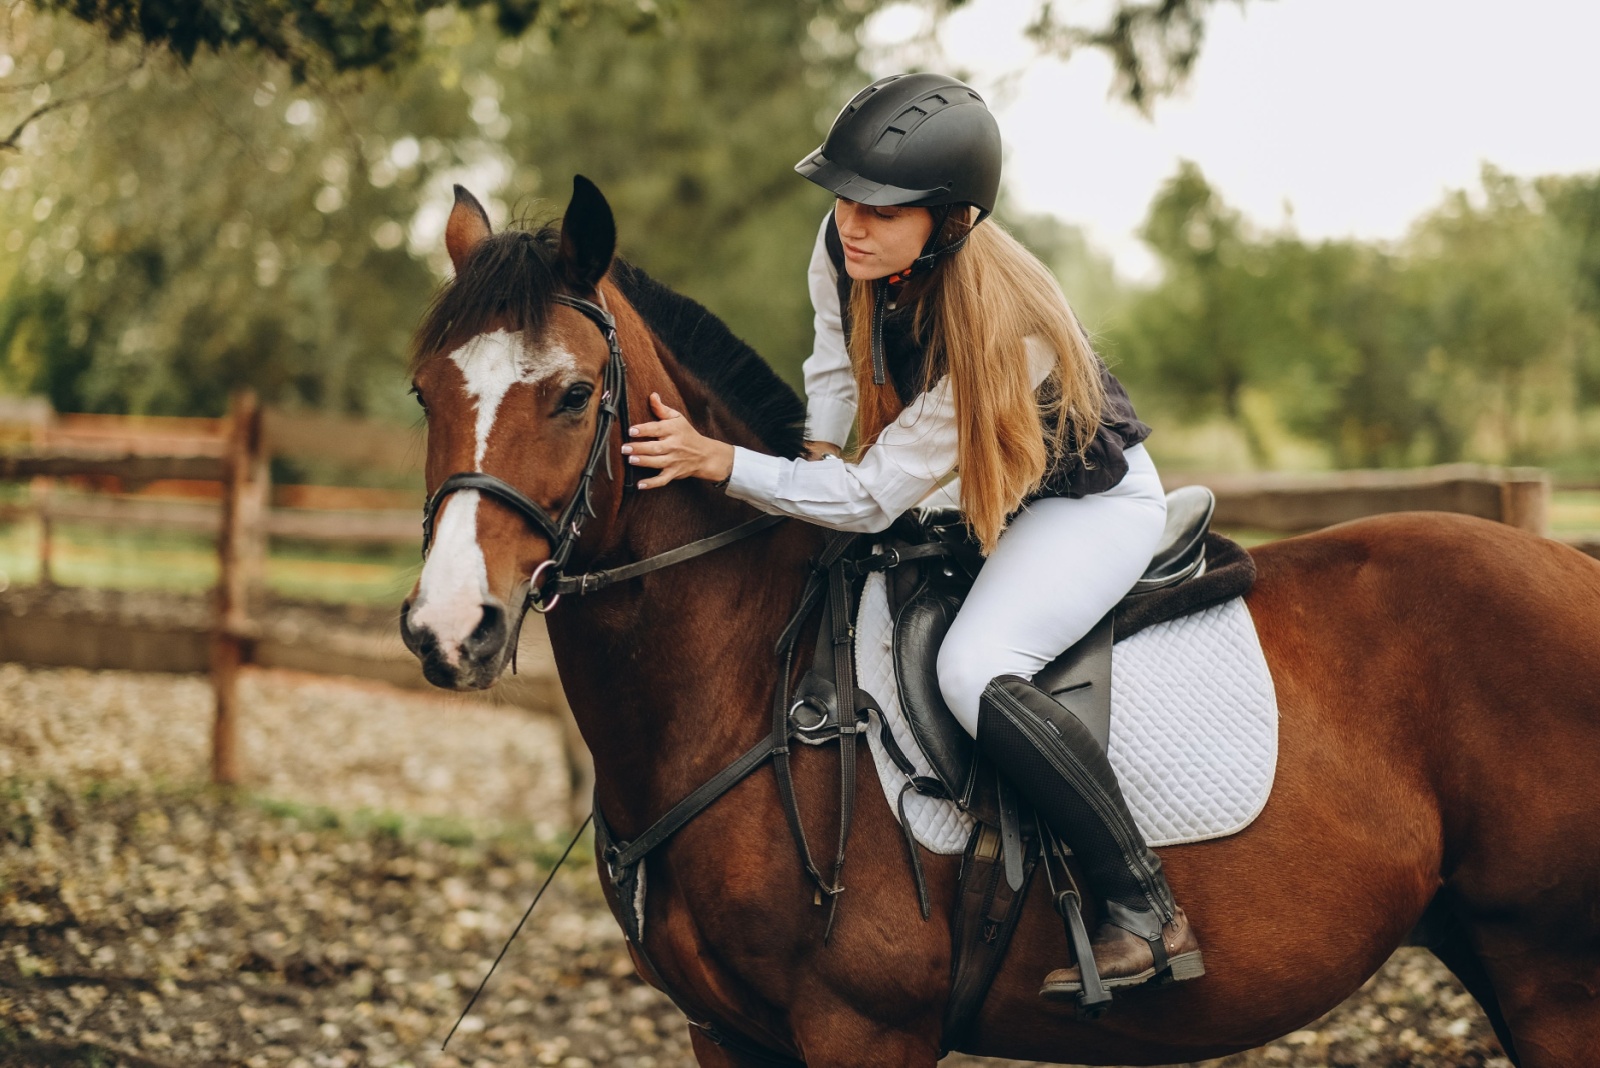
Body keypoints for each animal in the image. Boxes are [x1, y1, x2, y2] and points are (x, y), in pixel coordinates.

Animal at [400, 177, 1600, 1068]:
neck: (743, 682)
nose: (448, 630)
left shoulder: (860, 1031)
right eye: (423, 392)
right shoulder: (726, 1033)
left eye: (571, 395)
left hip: (1551, 972)